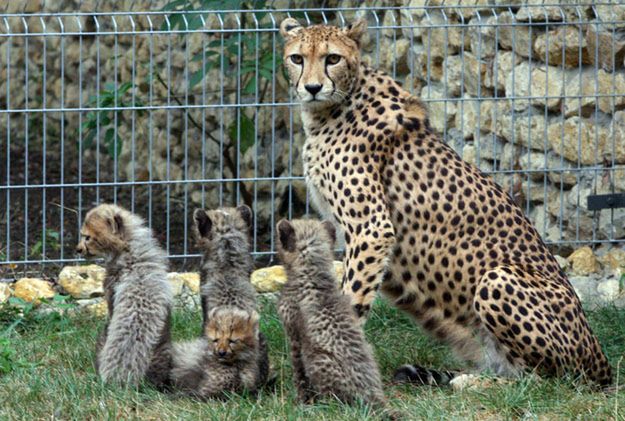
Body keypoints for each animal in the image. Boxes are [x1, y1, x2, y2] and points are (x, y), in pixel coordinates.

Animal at [280, 16, 608, 386]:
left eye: (332, 58)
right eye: (297, 59)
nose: (312, 88)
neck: (334, 105)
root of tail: (602, 359)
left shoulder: (372, 228)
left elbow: (350, 299)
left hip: (497, 278)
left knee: (543, 381)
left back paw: (471, 383)